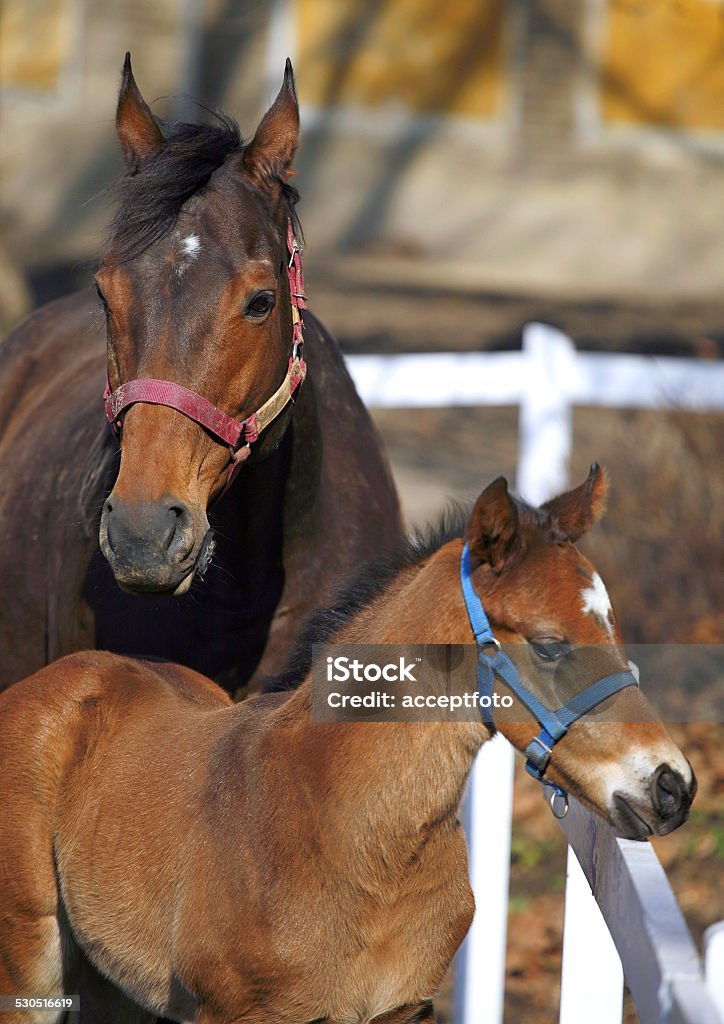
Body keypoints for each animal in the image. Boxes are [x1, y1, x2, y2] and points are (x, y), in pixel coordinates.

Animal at [2, 468, 700, 1019]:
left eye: (612, 625)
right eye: (551, 645)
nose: (673, 785)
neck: (360, 844)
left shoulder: (404, 1009)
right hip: (30, 965)